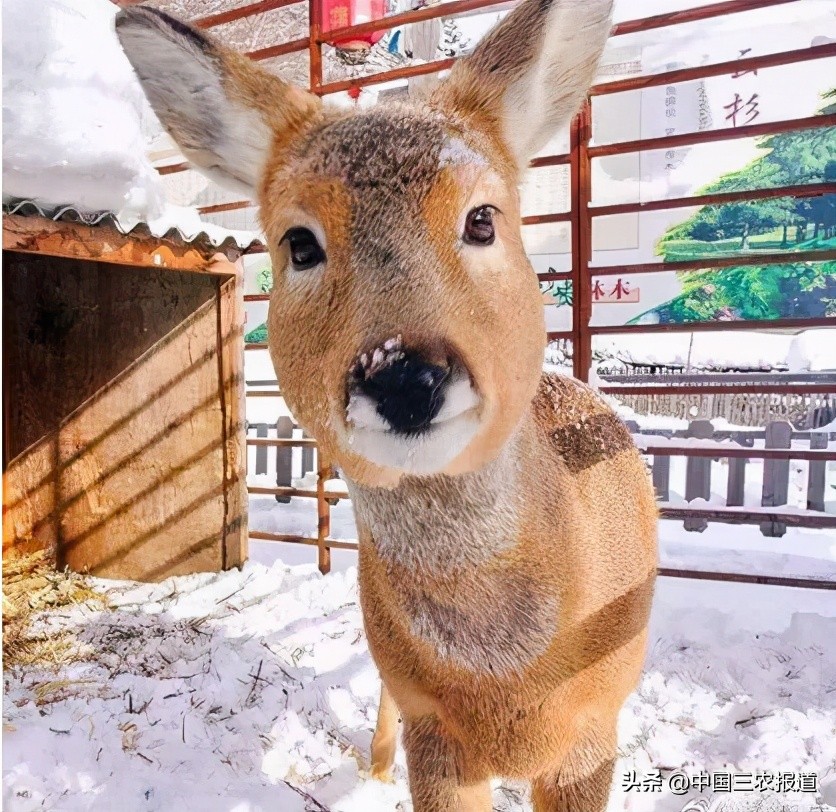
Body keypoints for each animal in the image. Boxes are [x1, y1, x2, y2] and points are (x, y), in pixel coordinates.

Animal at [117, 1, 656, 804]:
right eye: (299, 243)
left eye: (483, 218)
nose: (404, 377)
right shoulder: (430, 728)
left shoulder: (593, 731)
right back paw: (371, 766)